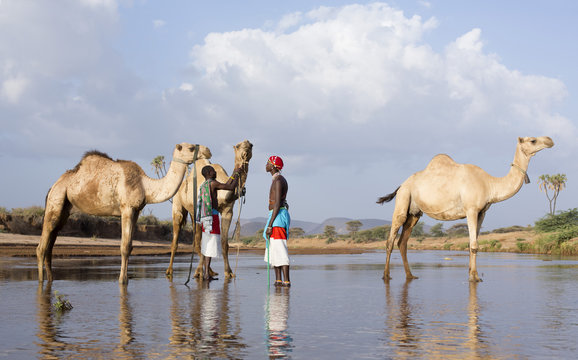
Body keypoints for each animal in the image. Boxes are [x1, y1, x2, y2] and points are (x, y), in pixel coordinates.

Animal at [35, 143, 209, 284]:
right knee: (42, 245)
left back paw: (50, 279)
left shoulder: (136, 211)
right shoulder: (126, 208)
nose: (208, 151)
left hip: (65, 208)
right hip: (56, 201)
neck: (145, 185)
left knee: (51, 242)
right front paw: (122, 280)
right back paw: (41, 280)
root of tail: (53, 186)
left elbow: (130, 246)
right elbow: (124, 246)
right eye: (191, 147)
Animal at [163, 140, 251, 278]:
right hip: (177, 204)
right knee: (177, 238)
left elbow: (224, 243)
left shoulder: (227, 211)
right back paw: (170, 271)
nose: (246, 145)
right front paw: (199, 272)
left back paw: (210, 271)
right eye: (237, 146)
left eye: (251, 145)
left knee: (197, 241)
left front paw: (229, 272)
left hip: (193, 213)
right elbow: (201, 242)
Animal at [376, 136, 552, 282]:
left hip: (414, 213)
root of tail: (401, 185)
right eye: (533, 140)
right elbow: (474, 245)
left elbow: (472, 243)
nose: (550, 140)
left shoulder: (482, 212)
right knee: (390, 240)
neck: (489, 184)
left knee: (403, 242)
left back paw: (410, 275)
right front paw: (475, 277)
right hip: (403, 199)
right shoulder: (471, 209)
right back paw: (386, 275)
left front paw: (471, 273)